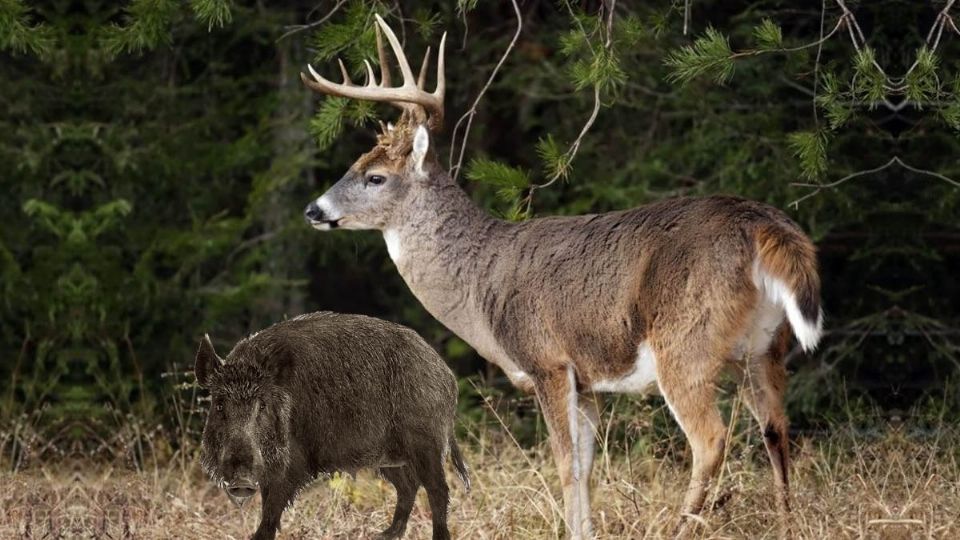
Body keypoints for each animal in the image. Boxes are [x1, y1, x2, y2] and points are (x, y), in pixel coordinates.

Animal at [302, 14, 824, 536]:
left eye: (375, 177)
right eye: (355, 163)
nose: (313, 209)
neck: (479, 281)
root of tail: (761, 224)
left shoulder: (547, 359)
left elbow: (566, 464)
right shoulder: (587, 379)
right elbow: (587, 466)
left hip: (686, 340)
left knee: (711, 440)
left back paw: (680, 525)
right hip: (764, 346)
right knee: (777, 430)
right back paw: (788, 524)